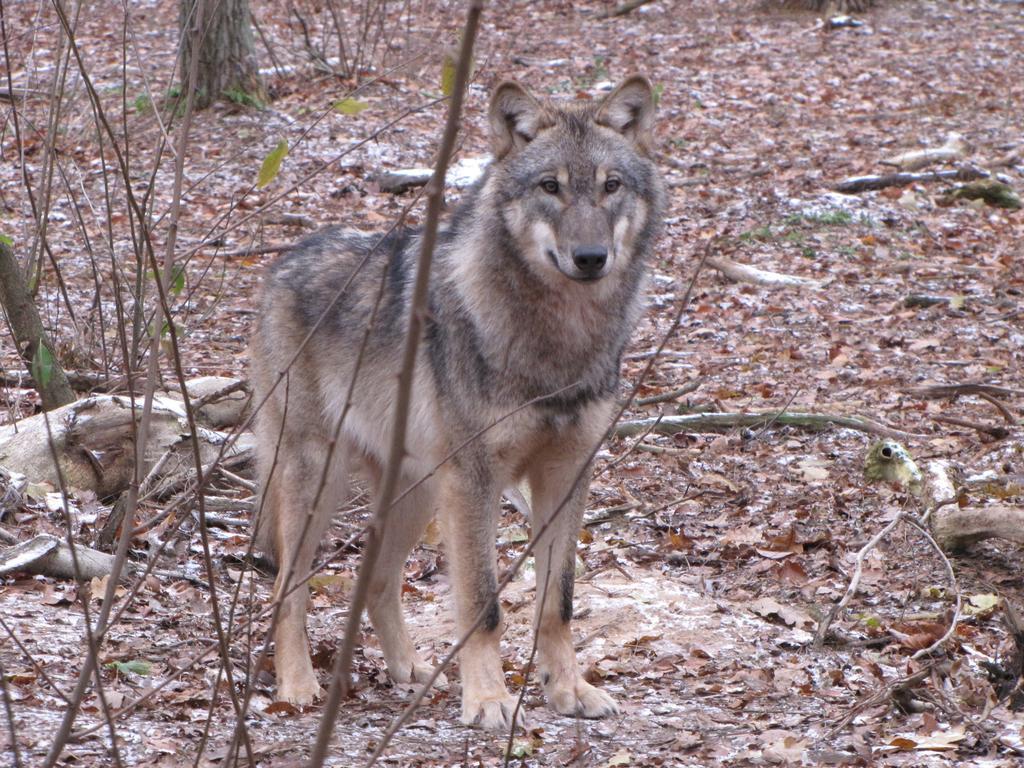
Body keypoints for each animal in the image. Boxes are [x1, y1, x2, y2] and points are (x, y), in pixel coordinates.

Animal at [247, 76, 663, 733]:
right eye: (550, 187)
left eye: (611, 185)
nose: (591, 257)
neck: (558, 341)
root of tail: (283, 262)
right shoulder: (475, 480)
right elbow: (483, 606)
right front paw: (489, 701)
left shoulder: (567, 474)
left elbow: (559, 601)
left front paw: (568, 690)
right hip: (317, 479)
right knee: (289, 584)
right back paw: (298, 685)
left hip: (416, 492)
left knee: (376, 581)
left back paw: (410, 673)